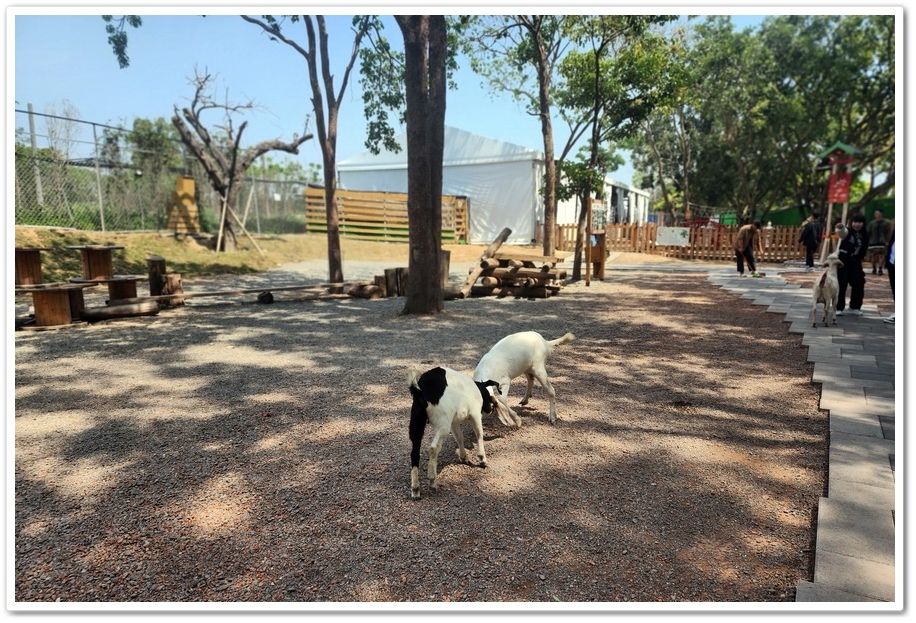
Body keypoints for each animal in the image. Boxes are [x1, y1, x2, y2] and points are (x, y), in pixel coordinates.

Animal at [406, 368, 498, 500]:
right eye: (488, 396)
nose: (490, 409)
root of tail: (420, 388)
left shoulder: (454, 421)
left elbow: (459, 437)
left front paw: (464, 457)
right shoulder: (474, 414)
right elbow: (479, 434)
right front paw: (482, 460)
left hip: (417, 421)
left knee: (414, 452)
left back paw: (415, 489)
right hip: (443, 423)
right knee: (433, 448)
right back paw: (432, 480)